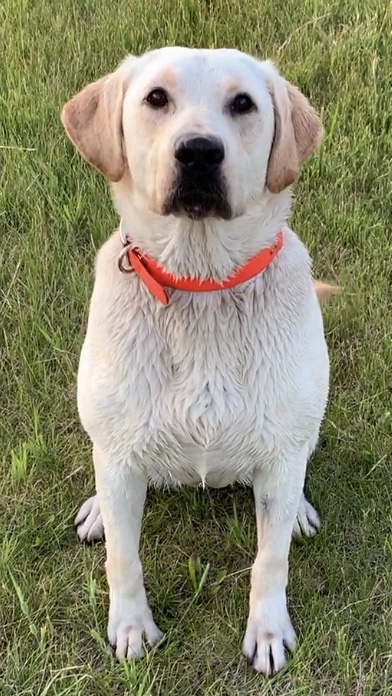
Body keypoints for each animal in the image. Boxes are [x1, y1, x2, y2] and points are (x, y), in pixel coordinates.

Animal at [61, 47, 336, 676]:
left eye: (244, 104)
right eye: (156, 98)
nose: (200, 152)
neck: (202, 285)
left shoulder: (281, 453)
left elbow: (270, 559)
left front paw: (267, 631)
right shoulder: (119, 455)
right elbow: (124, 558)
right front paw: (132, 628)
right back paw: (97, 509)